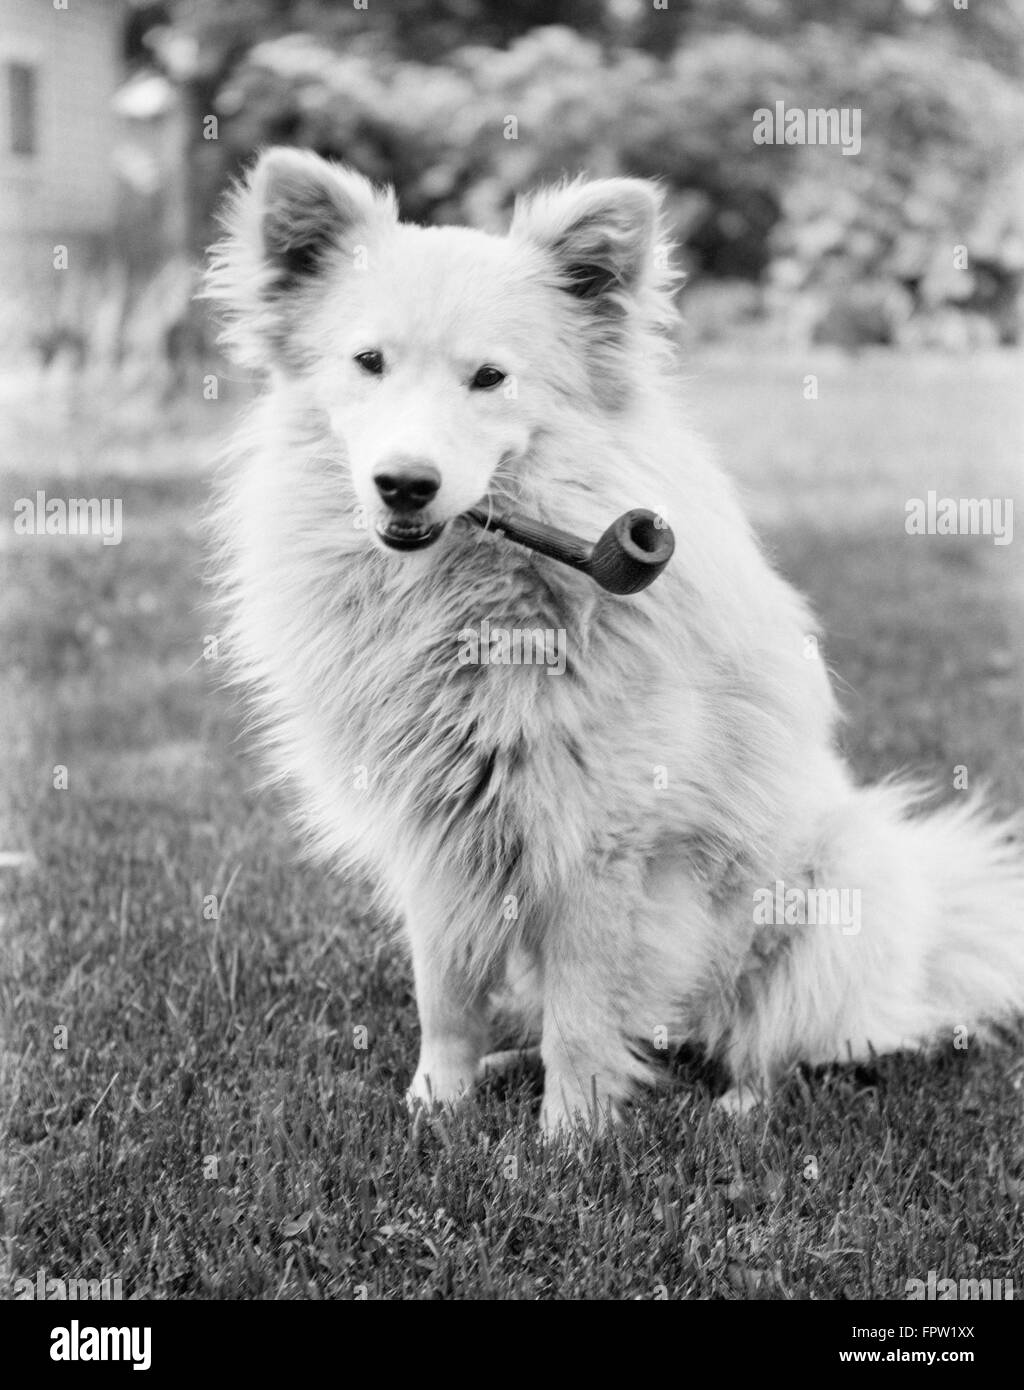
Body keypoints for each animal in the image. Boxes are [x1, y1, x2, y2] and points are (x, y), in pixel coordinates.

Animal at [205, 149, 1022, 1128]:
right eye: (368, 363)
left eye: (489, 378)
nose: (403, 484)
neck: (474, 606)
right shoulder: (439, 848)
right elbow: (446, 996)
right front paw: (438, 1104)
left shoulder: (603, 848)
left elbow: (586, 1018)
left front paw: (571, 1135)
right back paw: (508, 1064)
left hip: (836, 894)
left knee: (773, 1046)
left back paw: (738, 1109)